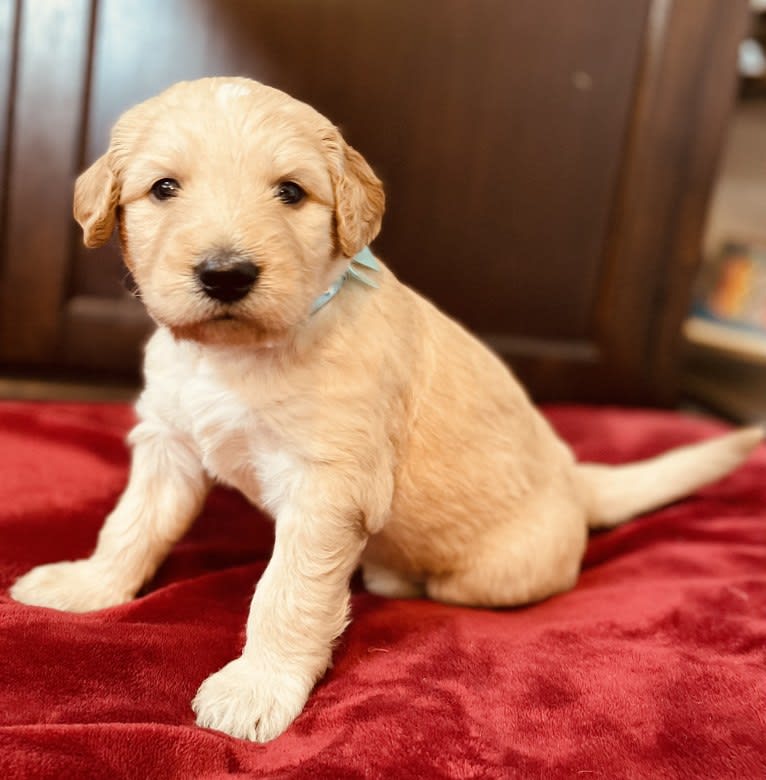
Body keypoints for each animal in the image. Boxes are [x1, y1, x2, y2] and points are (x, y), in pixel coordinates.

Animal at [10, 79, 760, 744]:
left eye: (290, 192)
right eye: (164, 188)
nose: (226, 275)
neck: (240, 356)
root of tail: (578, 479)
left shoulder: (327, 487)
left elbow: (287, 593)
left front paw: (257, 687)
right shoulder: (169, 444)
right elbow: (131, 524)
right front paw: (88, 584)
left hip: (488, 577)